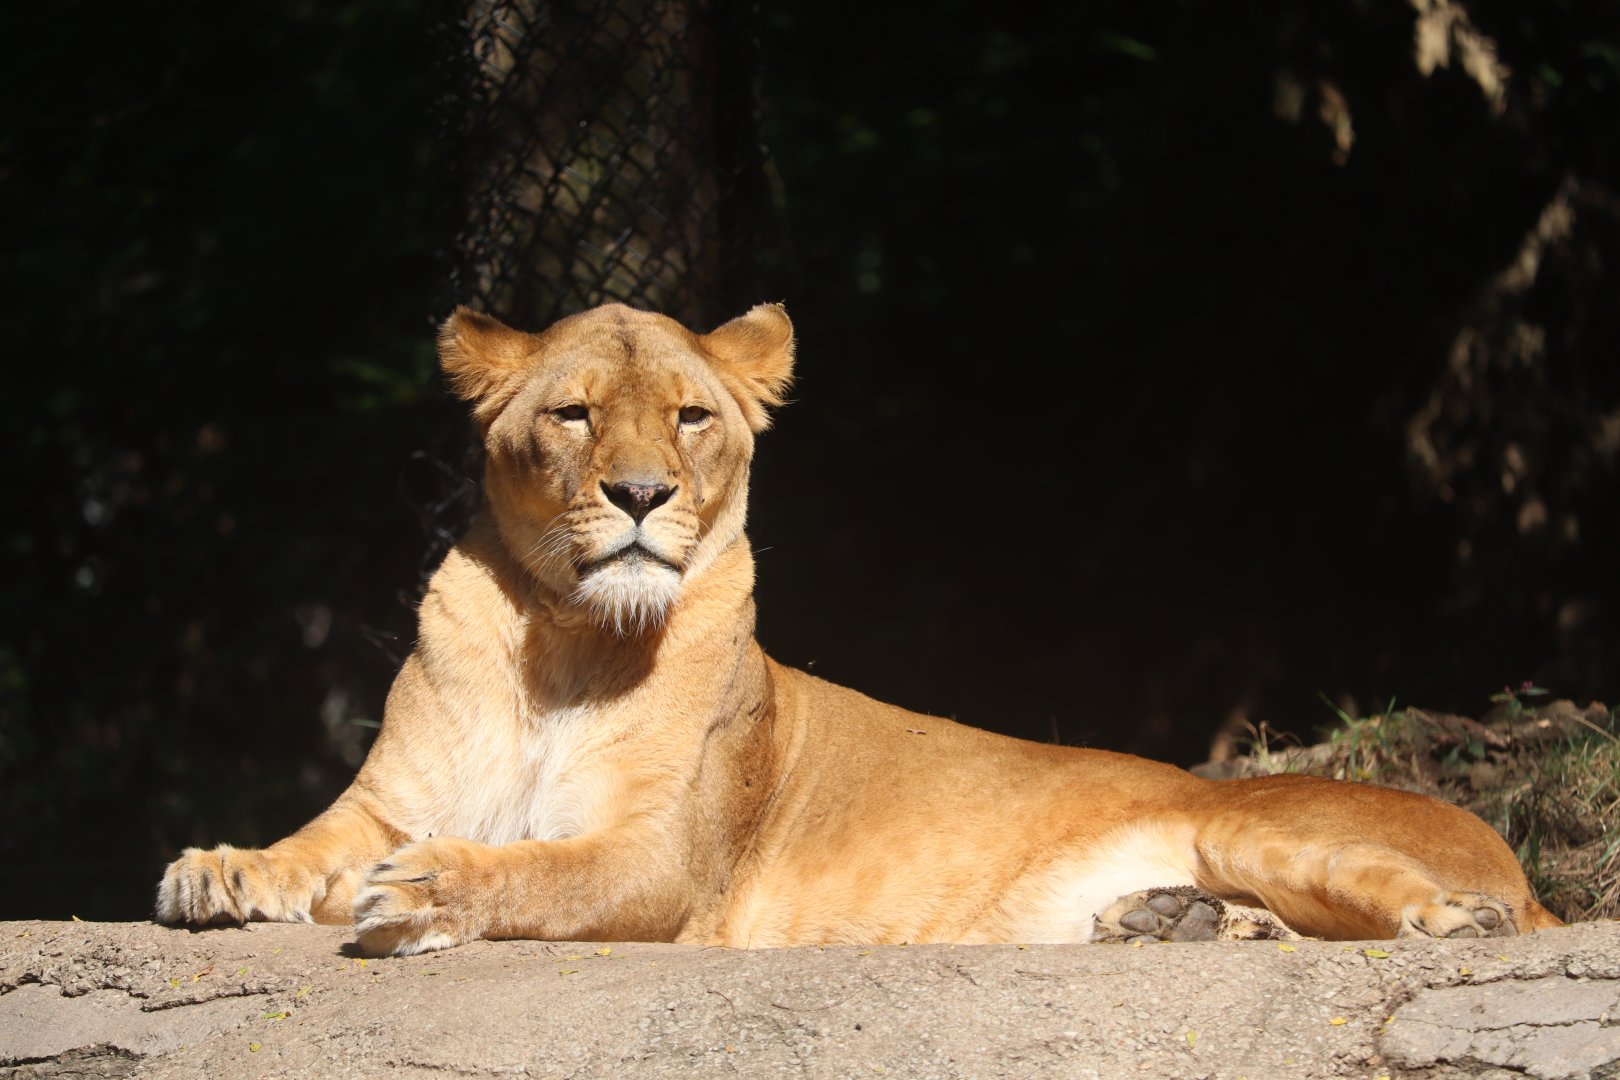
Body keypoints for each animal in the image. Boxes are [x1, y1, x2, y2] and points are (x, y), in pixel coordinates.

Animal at [157, 302, 1562, 955]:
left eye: (690, 417)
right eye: (574, 415)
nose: (640, 495)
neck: (569, 639)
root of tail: (1525, 865)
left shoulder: (664, 863)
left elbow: (540, 872)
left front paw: (436, 888)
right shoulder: (383, 801)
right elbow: (309, 842)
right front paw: (219, 870)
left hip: (1256, 822)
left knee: (1407, 906)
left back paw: (1446, 924)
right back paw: (1173, 923)